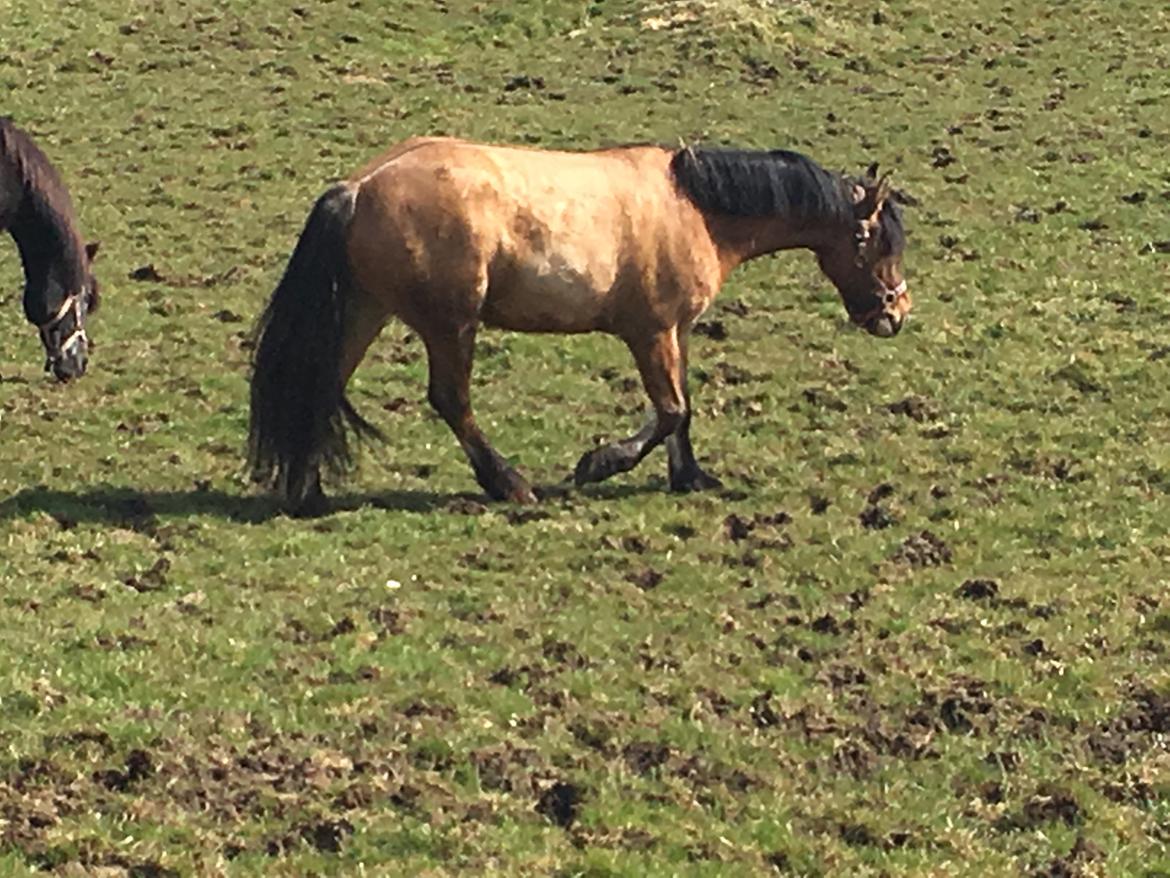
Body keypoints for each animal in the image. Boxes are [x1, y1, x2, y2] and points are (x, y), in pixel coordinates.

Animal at [246, 137, 907, 515]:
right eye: (879, 242)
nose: (895, 314)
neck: (694, 208)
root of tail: (359, 188)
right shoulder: (650, 332)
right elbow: (670, 411)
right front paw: (599, 463)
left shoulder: (676, 332)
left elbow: (683, 410)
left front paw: (690, 476)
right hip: (450, 325)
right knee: (450, 400)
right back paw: (510, 485)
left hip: (367, 309)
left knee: (320, 385)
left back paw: (308, 492)